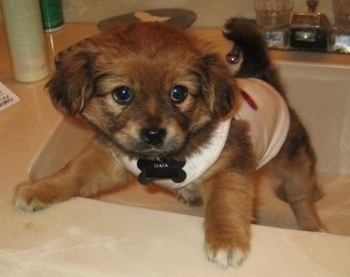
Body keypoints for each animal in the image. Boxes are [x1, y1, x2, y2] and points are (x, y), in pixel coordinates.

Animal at [14, 18, 322, 268]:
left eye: (178, 92)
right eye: (122, 94)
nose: (154, 134)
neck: (164, 160)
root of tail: (263, 79)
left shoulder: (230, 165)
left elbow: (226, 201)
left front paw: (227, 239)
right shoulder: (107, 159)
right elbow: (73, 172)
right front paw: (39, 188)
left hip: (291, 157)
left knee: (300, 193)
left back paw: (311, 225)